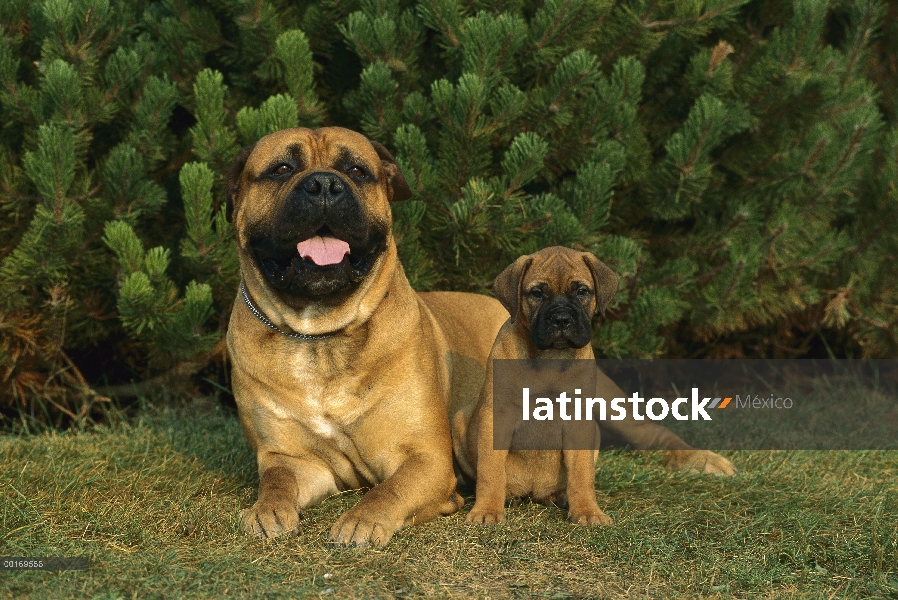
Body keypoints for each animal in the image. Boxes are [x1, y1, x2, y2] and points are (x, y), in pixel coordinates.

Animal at [456, 247, 736, 524]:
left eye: (582, 291)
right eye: (537, 293)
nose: (561, 318)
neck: (549, 360)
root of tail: (534, 493)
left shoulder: (579, 422)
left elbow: (582, 473)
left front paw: (587, 511)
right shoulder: (496, 416)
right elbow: (491, 470)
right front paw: (486, 510)